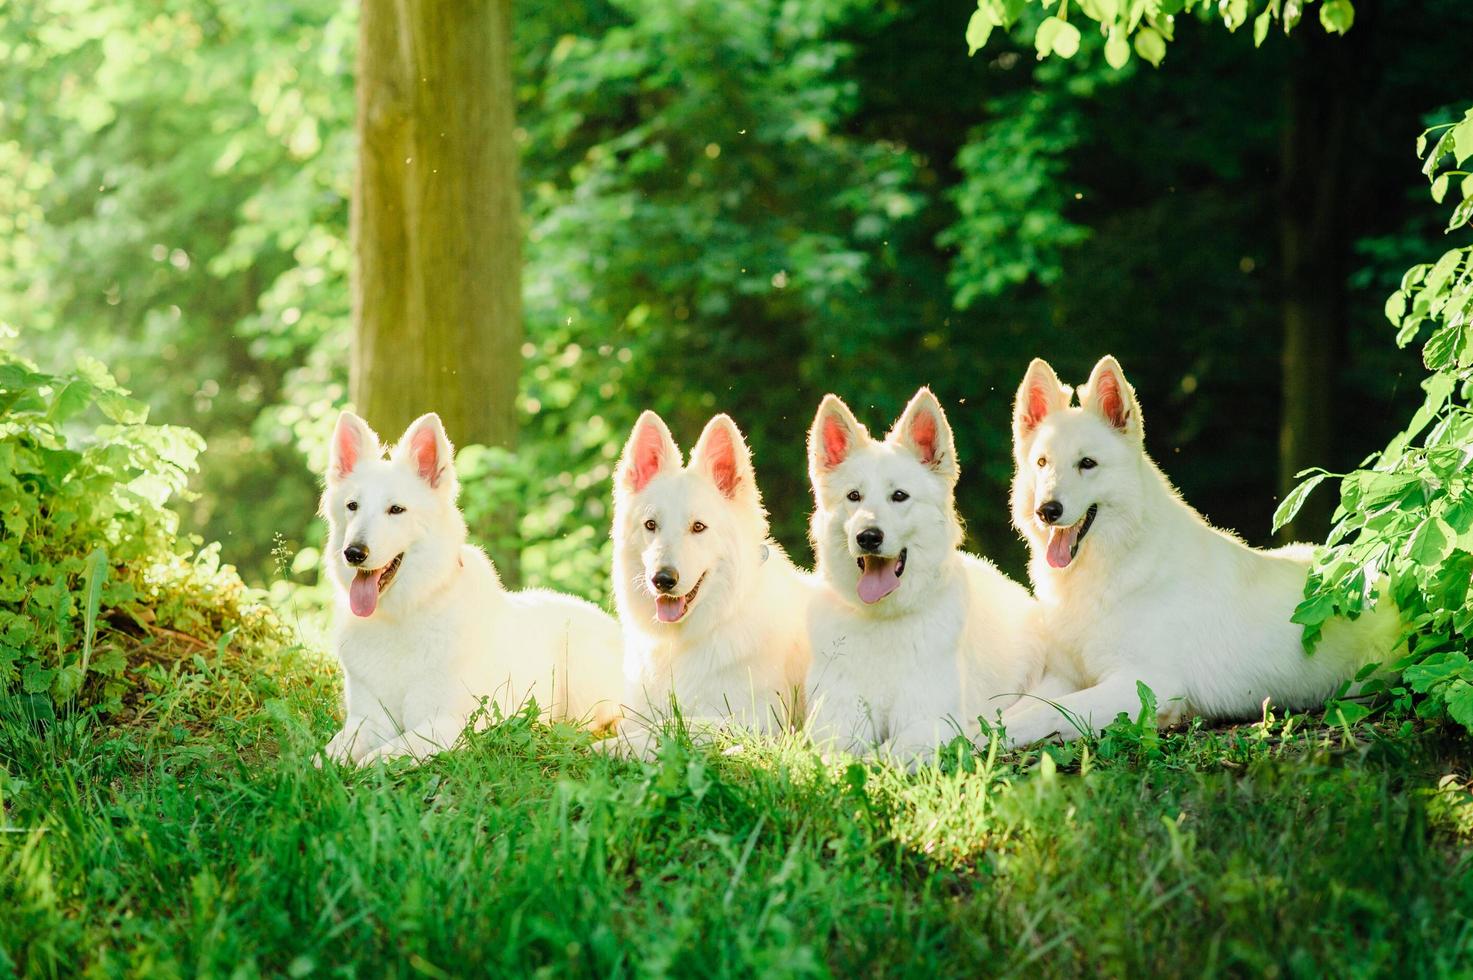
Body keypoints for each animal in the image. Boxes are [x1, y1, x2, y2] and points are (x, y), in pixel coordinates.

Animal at [322, 409, 621, 760]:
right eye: (352, 506)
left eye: (396, 509)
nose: (353, 553)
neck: (405, 613)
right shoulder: (366, 721)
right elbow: (326, 754)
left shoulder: (449, 724)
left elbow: (380, 755)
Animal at [609, 409, 818, 751]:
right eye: (651, 525)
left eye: (698, 527)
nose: (662, 579)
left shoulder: (756, 723)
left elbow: (670, 726)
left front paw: (613, 746)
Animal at [1001, 355, 1402, 745]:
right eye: (1042, 463)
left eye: (1087, 464)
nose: (1047, 510)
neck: (1113, 565)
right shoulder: (1064, 674)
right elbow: (1011, 705)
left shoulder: (1144, 685)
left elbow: (1045, 713)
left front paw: (993, 741)